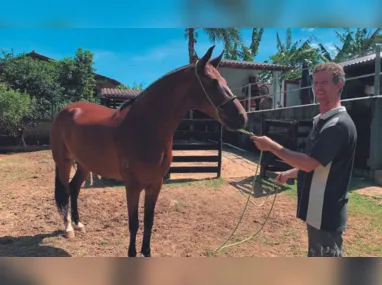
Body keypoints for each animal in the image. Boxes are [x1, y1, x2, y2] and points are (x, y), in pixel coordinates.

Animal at [50, 45, 248, 256]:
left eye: (225, 81)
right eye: (212, 81)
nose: (241, 117)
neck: (144, 127)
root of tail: (66, 110)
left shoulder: (155, 184)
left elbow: (149, 221)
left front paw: (146, 252)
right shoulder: (133, 186)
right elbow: (134, 223)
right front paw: (132, 253)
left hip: (84, 164)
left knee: (74, 188)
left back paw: (79, 224)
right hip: (64, 162)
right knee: (65, 189)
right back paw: (69, 228)